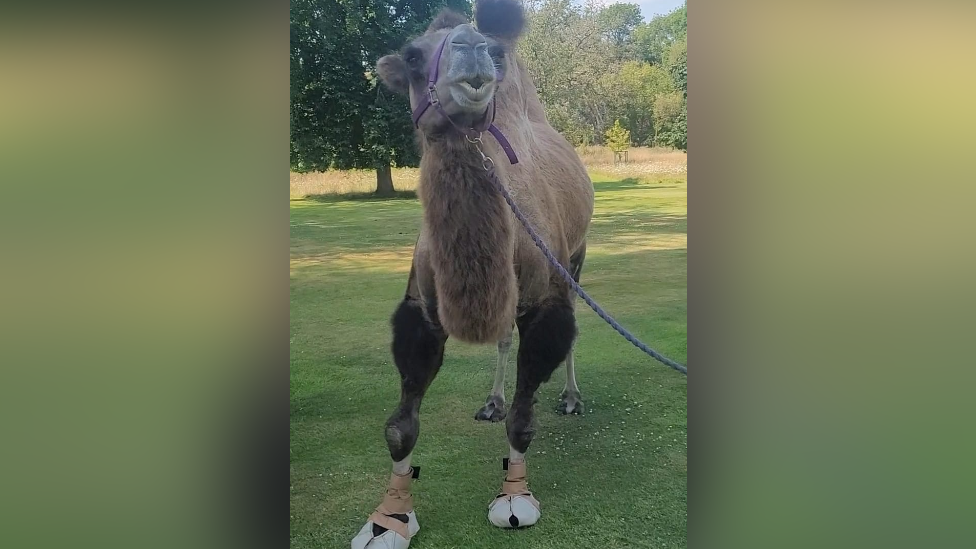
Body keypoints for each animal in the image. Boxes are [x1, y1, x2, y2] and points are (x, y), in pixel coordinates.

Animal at [352, 2, 596, 544]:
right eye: (413, 55)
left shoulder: (546, 298)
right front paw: (389, 518)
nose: (473, 49)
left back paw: (571, 397)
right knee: (503, 336)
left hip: (576, 255)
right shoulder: (423, 308)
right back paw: (492, 401)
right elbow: (399, 427)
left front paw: (515, 497)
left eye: (495, 51)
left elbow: (524, 421)